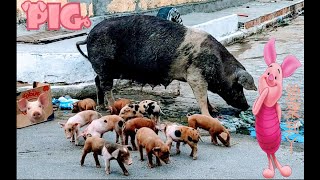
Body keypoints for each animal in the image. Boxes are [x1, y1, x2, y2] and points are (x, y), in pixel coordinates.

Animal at [76, 14, 256, 115]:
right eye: (238, 86)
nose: (246, 106)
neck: (219, 65)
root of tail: (89, 35)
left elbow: (205, 97)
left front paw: (215, 111)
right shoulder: (195, 75)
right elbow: (201, 97)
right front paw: (209, 115)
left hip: (103, 69)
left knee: (97, 82)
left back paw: (100, 107)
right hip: (104, 64)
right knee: (106, 87)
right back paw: (113, 108)